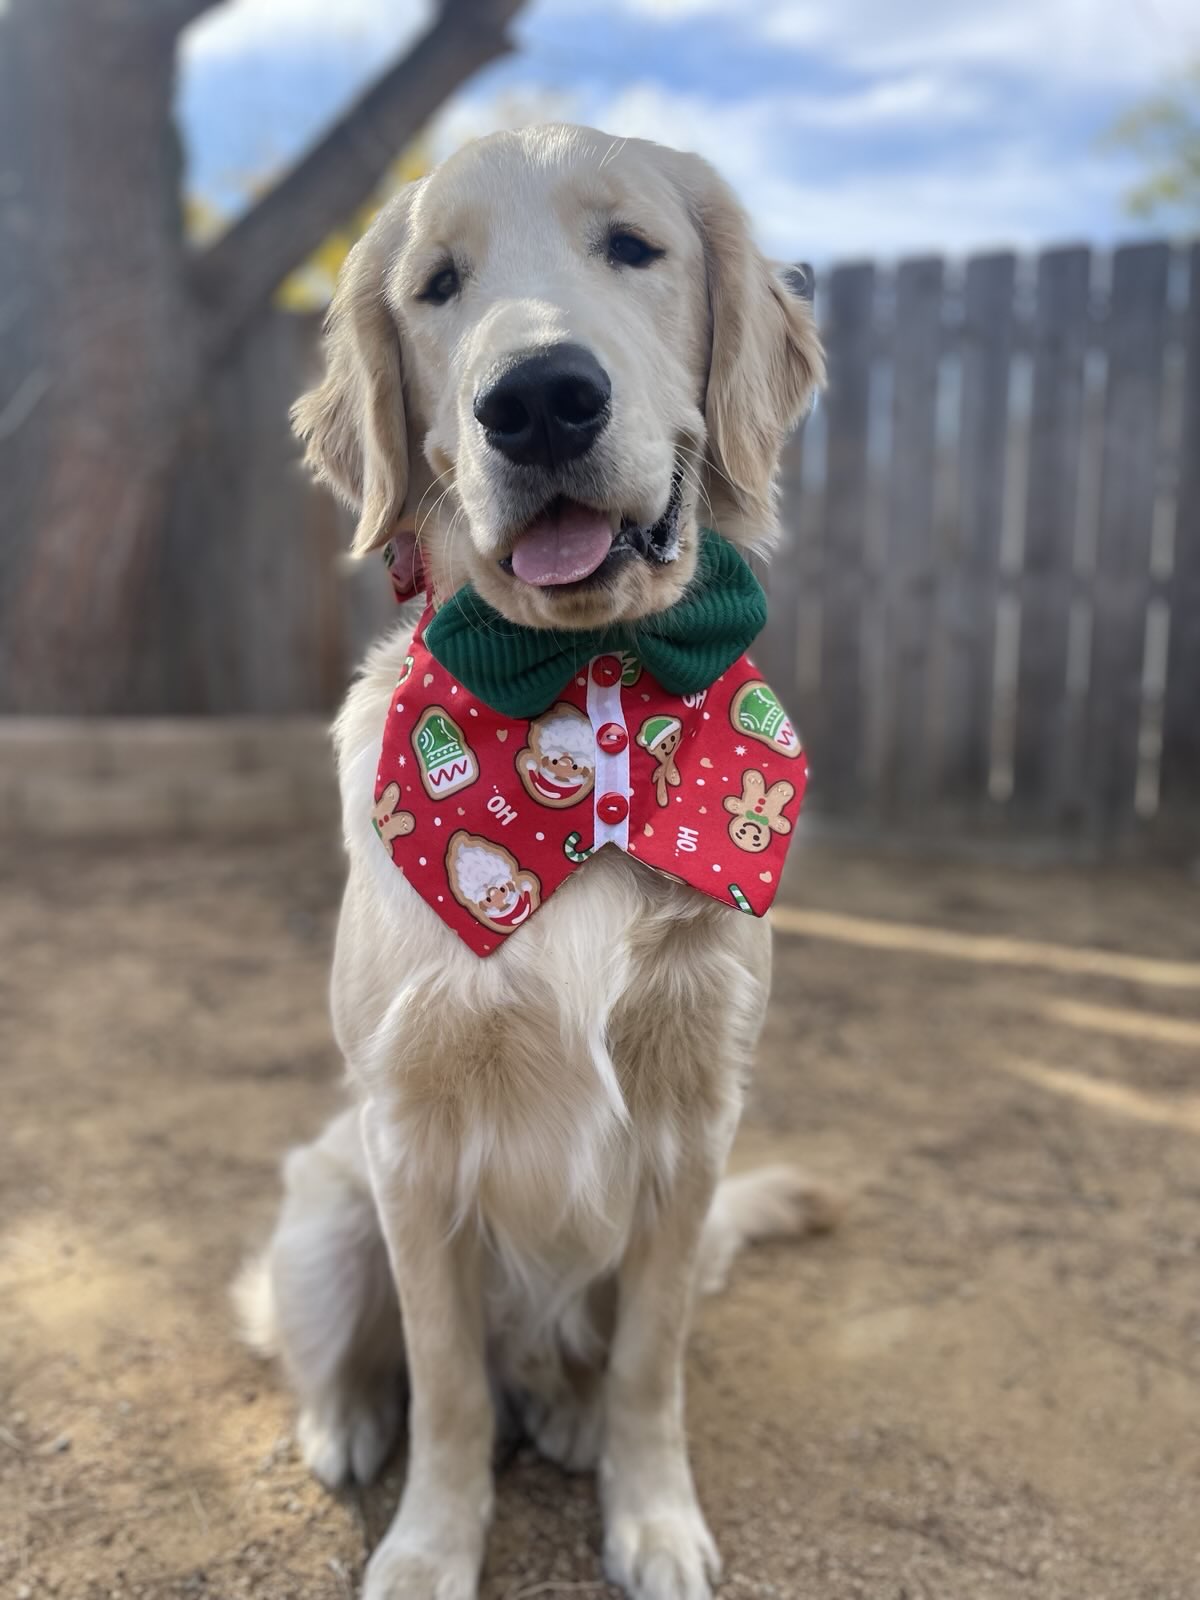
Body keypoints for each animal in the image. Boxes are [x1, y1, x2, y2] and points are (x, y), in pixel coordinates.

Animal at [240, 124, 832, 1600]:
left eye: (634, 247)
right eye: (437, 286)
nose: (541, 399)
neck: (582, 685)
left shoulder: (695, 1125)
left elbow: (650, 1366)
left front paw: (654, 1517)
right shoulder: (408, 1138)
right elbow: (448, 1384)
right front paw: (429, 1546)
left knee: (579, 1366)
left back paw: (561, 1416)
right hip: (327, 1207)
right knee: (347, 1358)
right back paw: (345, 1425)